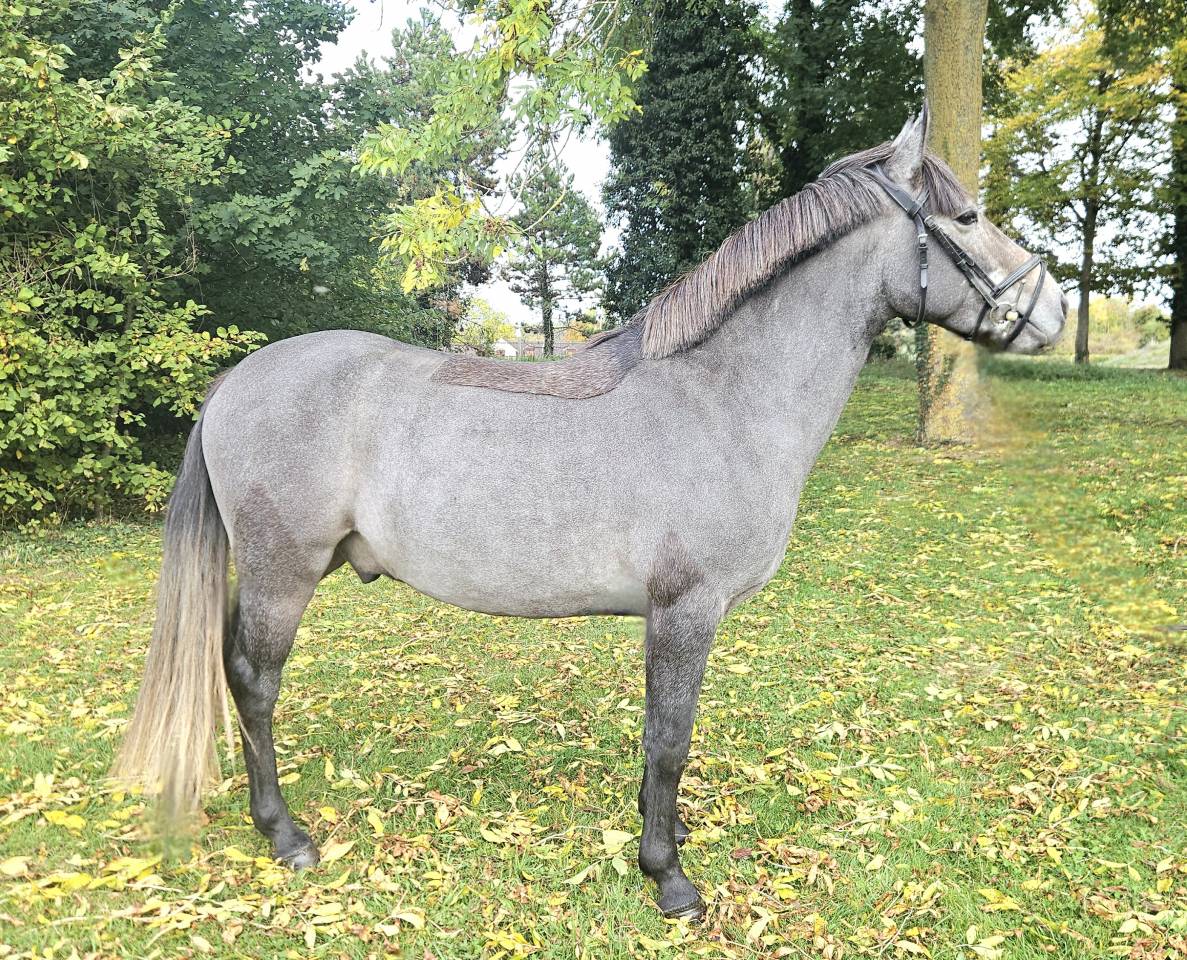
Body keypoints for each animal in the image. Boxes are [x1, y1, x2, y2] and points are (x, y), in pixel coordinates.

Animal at [114, 108, 1067, 919]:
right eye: (968, 215)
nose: (1052, 310)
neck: (720, 398)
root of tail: (236, 379)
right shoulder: (686, 610)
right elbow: (670, 738)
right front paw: (668, 877)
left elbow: (658, 738)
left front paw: (663, 831)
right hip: (283, 574)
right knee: (253, 682)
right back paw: (284, 834)